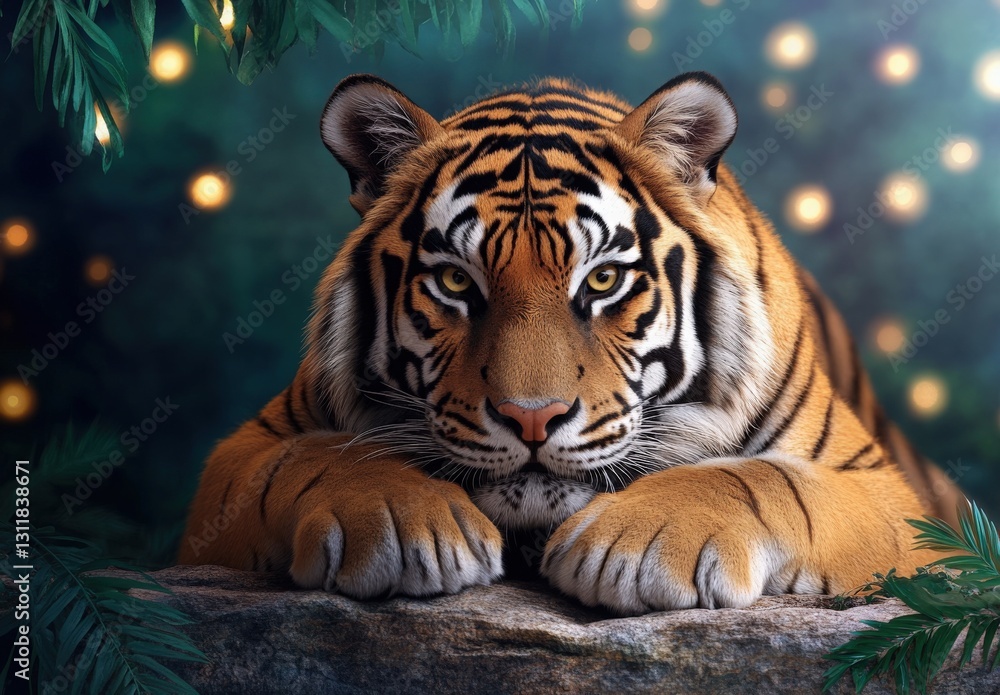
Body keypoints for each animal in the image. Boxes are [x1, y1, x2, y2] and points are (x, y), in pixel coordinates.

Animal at [178, 71, 965, 614]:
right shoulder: (240, 455)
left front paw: (638, 543)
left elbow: (762, 476)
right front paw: (401, 522)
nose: (532, 419)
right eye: (456, 281)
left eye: (605, 278)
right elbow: (313, 456)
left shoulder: (884, 489)